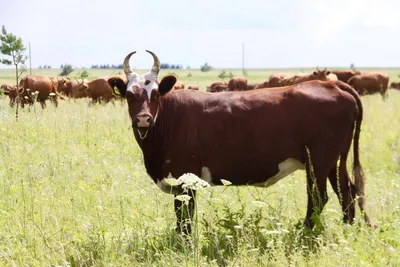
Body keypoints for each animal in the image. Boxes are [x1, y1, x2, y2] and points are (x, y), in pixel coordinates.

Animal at [109, 50, 372, 234]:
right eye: (130, 95)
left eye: (154, 94)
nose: (144, 118)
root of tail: (331, 83)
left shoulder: (186, 178)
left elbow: (184, 217)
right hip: (333, 160)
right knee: (347, 192)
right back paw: (346, 230)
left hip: (318, 161)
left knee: (319, 197)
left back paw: (304, 232)